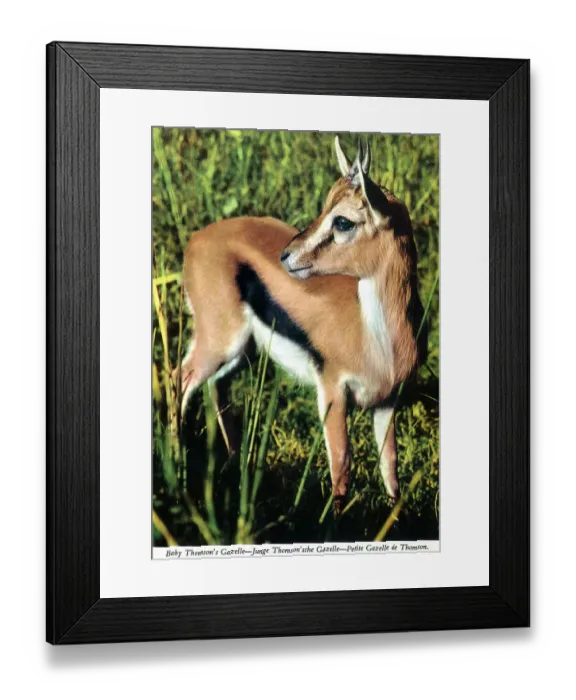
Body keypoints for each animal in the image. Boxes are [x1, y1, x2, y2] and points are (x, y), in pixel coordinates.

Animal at [177, 137, 427, 511]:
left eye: (343, 221)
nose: (286, 255)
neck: (380, 338)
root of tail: (197, 238)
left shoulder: (386, 401)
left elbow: (390, 467)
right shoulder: (333, 390)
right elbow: (342, 466)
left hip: (243, 354)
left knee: (216, 388)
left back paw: (235, 463)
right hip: (221, 344)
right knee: (180, 379)